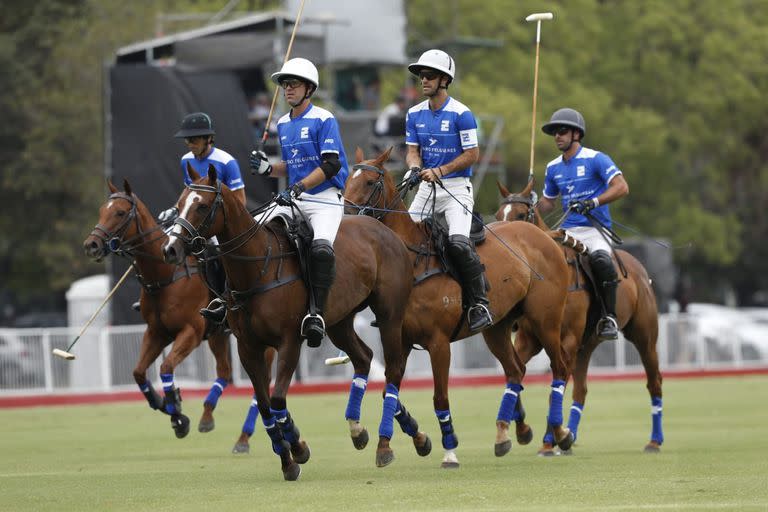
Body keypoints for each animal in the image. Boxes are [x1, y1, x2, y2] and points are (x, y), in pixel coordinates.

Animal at [81, 179, 272, 444]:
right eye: (101, 210)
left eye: (119, 212)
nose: (91, 245)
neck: (164, 276)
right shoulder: (156, 332)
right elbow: (138, 372)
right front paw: (165, 405)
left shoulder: (190, 331)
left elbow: (166, 368)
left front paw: (177, 414)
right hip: (218, 334)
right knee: (224, 371)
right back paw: (207, 416)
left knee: (261, 385)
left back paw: (244, 437)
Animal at [159, 164, 416, 480]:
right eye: (181, 202)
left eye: (203, 206)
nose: (170, 249)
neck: (258, 267)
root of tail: (384, 229)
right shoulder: (248, 347)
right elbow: (266, 407)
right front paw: (289, 460)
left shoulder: (289, 341)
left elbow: (278, 400)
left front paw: (297, 446)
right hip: (339, 321)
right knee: (364, 357)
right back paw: (358, 430)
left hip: (390, 314)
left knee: (393, 369)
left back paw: (385, 444)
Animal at [344, 148, 572, 468]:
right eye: (345, 180)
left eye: (368, 182)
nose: (345, 216)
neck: (412, 261)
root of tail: (542, 235)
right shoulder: (400, 339)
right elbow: (390, 390)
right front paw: (400, 443)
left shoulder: (438, 343)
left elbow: (440, 398)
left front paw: (449, 451)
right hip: (497, 327)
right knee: (515, 370)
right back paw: (507, 433)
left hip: (545, 319)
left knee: (560, 366)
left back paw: (560, 432)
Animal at [496, 179, 664, 452]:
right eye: (499, 215)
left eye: (521, 215)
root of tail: (640, 270)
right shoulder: (528, 340)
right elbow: (516, 372)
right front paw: (528, 432)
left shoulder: (568, 338)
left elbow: (555, 384)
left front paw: (551, 438)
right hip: (587, 344)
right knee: (581, 390)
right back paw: (567, 435)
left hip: (644, 336)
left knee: (654, 381)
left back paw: (654, 441)